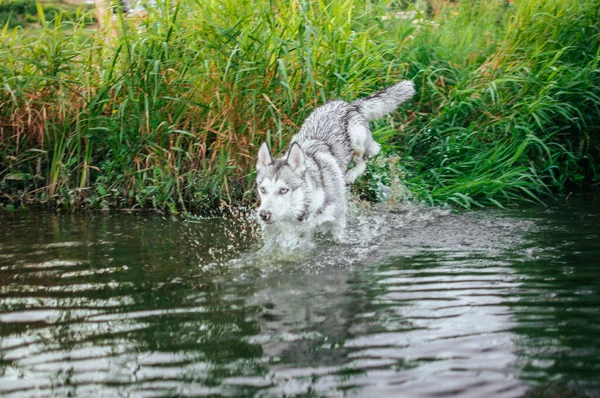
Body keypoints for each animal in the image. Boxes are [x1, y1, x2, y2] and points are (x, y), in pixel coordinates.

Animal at [255, 81, 414, 244]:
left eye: (283, 190)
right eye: (263, 189)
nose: (263, 214)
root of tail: (348, 104)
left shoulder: (337, 221)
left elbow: (337, 237)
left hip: (357, 140)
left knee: (365, 159)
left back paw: (350, 175)